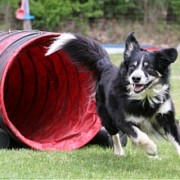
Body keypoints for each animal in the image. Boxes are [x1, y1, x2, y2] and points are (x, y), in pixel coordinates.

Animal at [45, 32, 179, 158]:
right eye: (132, 66)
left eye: (149, 67)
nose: (135, 78)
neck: (144, 98)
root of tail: (107, 68)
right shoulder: (121, 118)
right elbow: (138, 135)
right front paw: (151, 148)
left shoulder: (166, 116)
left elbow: (176, 138)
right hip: (106, 116)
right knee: (114, 135)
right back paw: (119, 152)